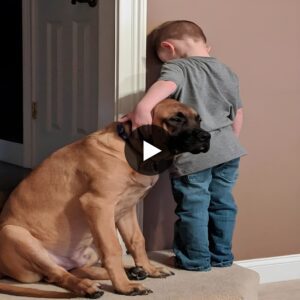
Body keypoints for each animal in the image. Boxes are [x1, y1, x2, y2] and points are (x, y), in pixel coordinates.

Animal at [0, 99, 211, 298]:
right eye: (176, 119)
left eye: (199, 120)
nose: (206, 137)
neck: (132, 150)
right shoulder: (98, 205)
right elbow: (113, 249)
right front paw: (124, 287)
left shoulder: (127, 209)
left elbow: (137, 240)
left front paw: (149, 269)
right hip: (14, 234)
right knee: (58, 274)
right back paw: (89, 287)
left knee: (75, 269)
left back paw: (134, 271)